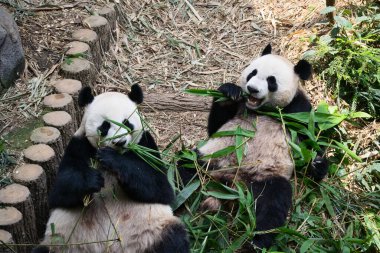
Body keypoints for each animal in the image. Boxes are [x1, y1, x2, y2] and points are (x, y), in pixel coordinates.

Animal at [34, 84, 190, 253]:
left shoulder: (145, 144)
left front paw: (112, 159)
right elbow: (60, 191)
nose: (120, 142)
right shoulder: (78, 145)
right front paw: (92, 180)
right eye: (105, 126)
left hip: (151, 233)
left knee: (174, 240)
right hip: (63, 243)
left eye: (126, 123)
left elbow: (160, 188)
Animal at [180, 45, 328, 251]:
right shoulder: (240, 107)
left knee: (272, 204)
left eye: (272, 81)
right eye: (252, 73)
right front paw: (229, 91)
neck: (261, 109)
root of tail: (231, 184)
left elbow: (310, 141)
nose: (252, 89)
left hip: (265, 177)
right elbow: (215, 127)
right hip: (208, 160)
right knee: (181, 169)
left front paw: (317, 164)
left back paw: (256, 242)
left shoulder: (298, 112)